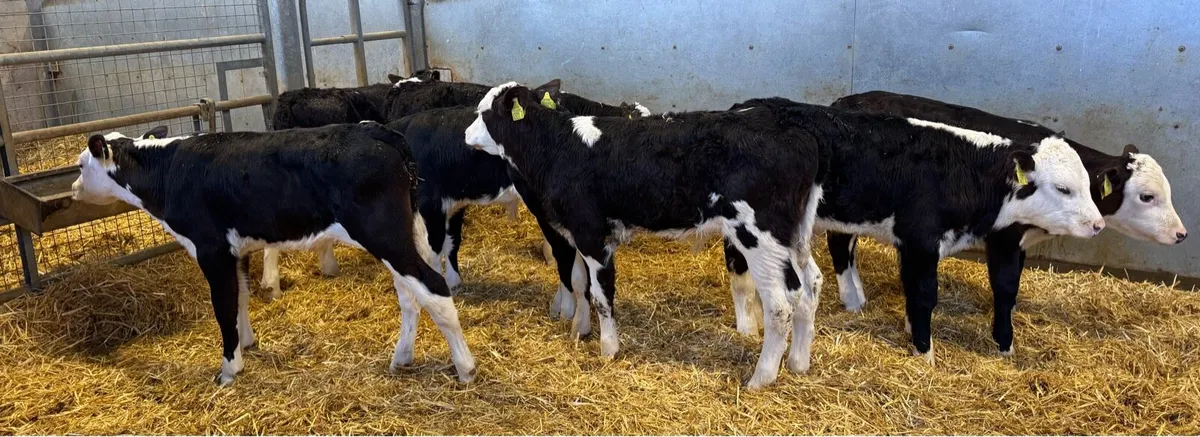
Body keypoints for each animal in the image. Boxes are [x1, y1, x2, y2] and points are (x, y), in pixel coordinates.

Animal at [69, 123, 476, 386]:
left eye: (80, 164)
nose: (73, 188)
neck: (171, 170)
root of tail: (376, 131)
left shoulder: (211, 249)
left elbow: (223, 307)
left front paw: (229, 369)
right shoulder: (237, 250)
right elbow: (241, 298)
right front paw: (247, 343)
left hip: (382, 233)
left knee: (434, 287)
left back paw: (465, 367)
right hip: (402, 234)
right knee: (410, 297)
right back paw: (402, 357)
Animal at [465, 81, 827, 389]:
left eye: (484, 113)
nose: (466, 134)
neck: (558, 148)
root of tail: (798, 136)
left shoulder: (592, 233)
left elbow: (601, 294)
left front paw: (609, 348)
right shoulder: (575, 231)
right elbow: (580, 284)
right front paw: (579, 330)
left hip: (758, 236)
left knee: (780, 304)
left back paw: (762, 377)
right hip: (794, 235)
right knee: (810, 285)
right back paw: (798, 363)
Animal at [717, 97, 1104, 364]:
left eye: (1088, 185)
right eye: (1063, 188)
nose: (1098, 224)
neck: (961, 171)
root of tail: (746, 106)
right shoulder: (922, 240)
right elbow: (925, 294)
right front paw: (925, 352)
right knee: (738, 263)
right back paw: (748, 325)